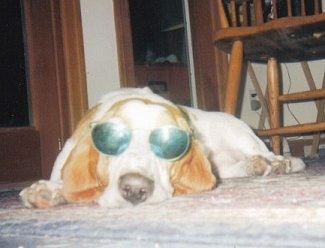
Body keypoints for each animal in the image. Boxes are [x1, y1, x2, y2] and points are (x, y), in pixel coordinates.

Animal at [19, 87, 304, 207]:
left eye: (169, 146)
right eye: (111, 141)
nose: (135, 189)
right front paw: (48, 190)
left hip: (238, 135)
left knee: (268, 153)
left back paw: (277, 163)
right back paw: (256, 166)